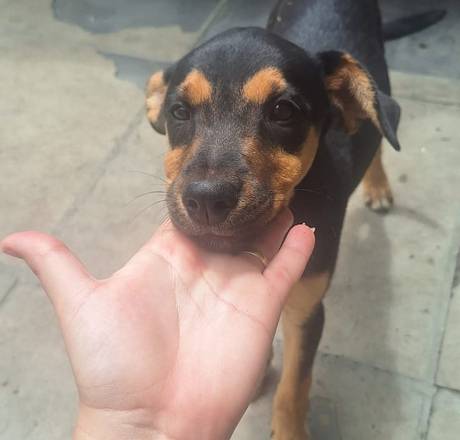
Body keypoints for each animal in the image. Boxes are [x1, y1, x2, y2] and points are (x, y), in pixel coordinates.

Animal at [145, 1, 444, 438]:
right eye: (179, 112)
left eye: (282, 111)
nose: (206, 200)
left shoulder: (308, 309)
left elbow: (294, 387)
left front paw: (288, 429)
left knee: (378, 133)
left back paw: (377, 184)